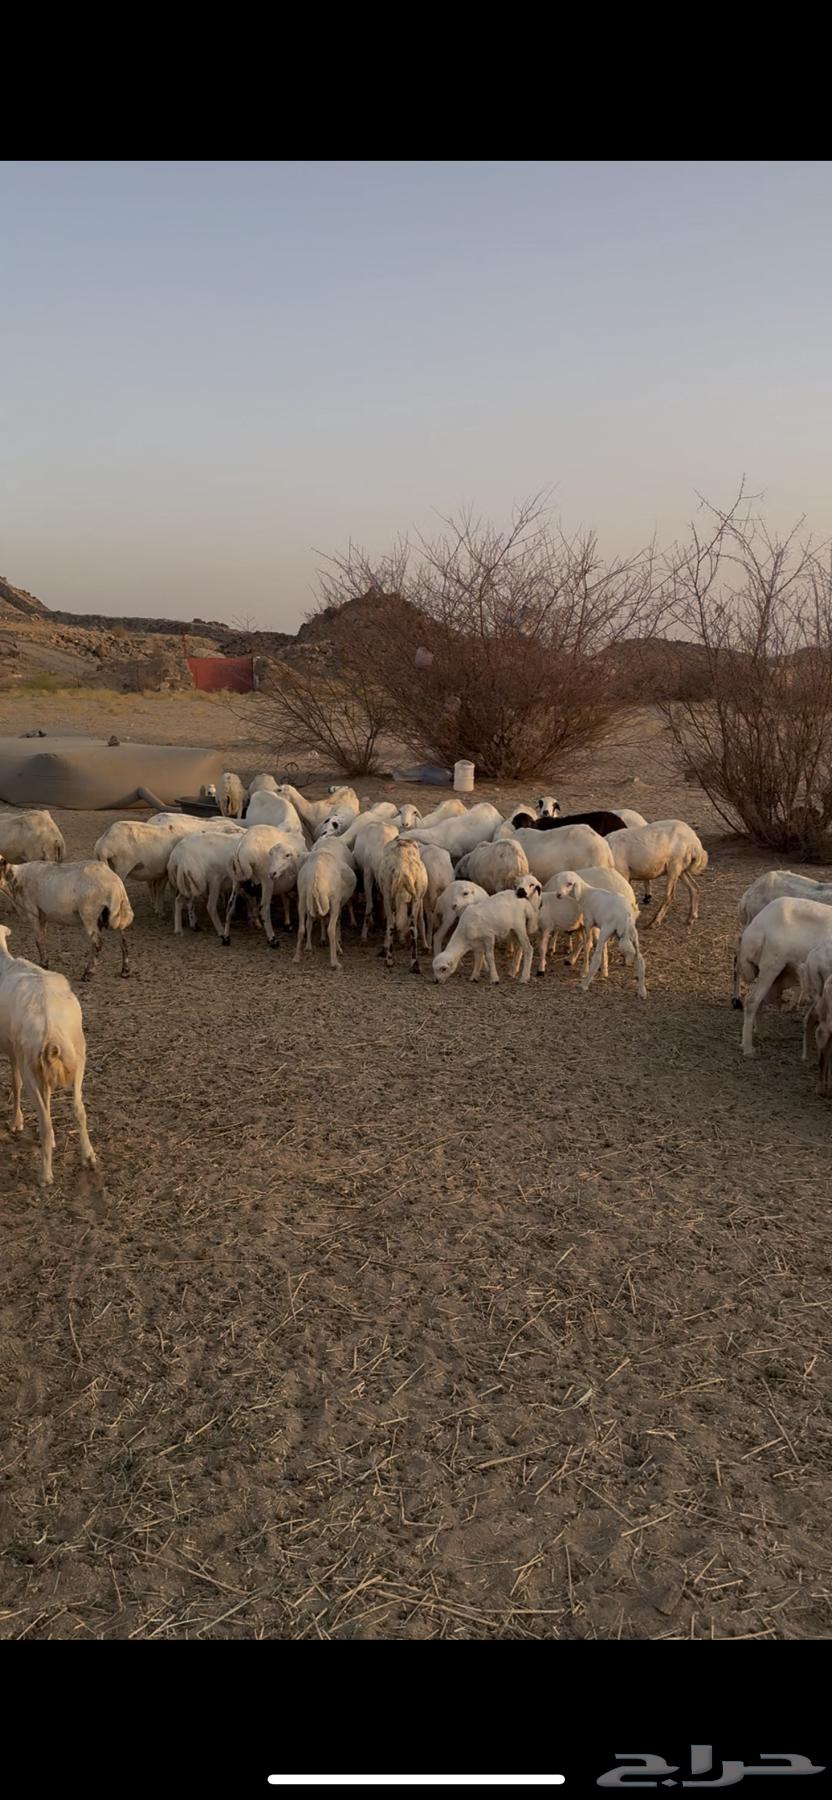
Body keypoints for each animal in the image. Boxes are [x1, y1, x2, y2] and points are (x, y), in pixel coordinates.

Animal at [0, 859, 134, 980]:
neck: (14, 879)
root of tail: (116, 885)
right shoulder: (43, 916)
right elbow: (42, 939)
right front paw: (44, 964)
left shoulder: (32, 912)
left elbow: (38, 940)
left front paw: (43, 965)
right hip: (116, 914)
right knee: (123, 941)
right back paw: (125, 971)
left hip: (89, 914)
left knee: (97, 943)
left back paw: (88, 973)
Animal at [0, 924, 96, 1185]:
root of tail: (50, 1026)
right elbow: (48, 1095)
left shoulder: (13, 1052)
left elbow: (15, 1083)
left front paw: (16, 1123)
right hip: (77, 1055)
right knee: (78, 1107)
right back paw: (89, 1157)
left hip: (30, 1063)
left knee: (43, 1120)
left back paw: (45, 1175)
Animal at [379, 840, 429, 972]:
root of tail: (402, 870)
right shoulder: (419, 899)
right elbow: (421, 922)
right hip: (414, 898)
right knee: (412, 926)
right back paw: (413, 962)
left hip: (388, 894)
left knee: (392, 925)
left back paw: (391, 959)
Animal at [736, 897, 832, 1056]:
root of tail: (756, 927)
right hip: (772, 965)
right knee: (751, 1001)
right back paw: (748, 1048)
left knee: (759, 1000)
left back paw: (761, 1033)